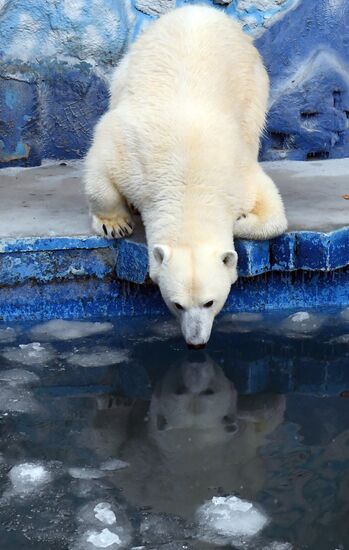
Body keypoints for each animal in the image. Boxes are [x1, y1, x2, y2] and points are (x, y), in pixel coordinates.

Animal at [84, 5, 286, 350]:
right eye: (176, 304)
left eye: (210, 302)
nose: (196, 342)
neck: (188, 180)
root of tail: (200, 9)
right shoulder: (131, 153)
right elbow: (101, 166)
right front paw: (116, 224)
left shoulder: (238, 172)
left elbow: (273, 211)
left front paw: (240, 220)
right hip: (129, 66)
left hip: (254, 83)